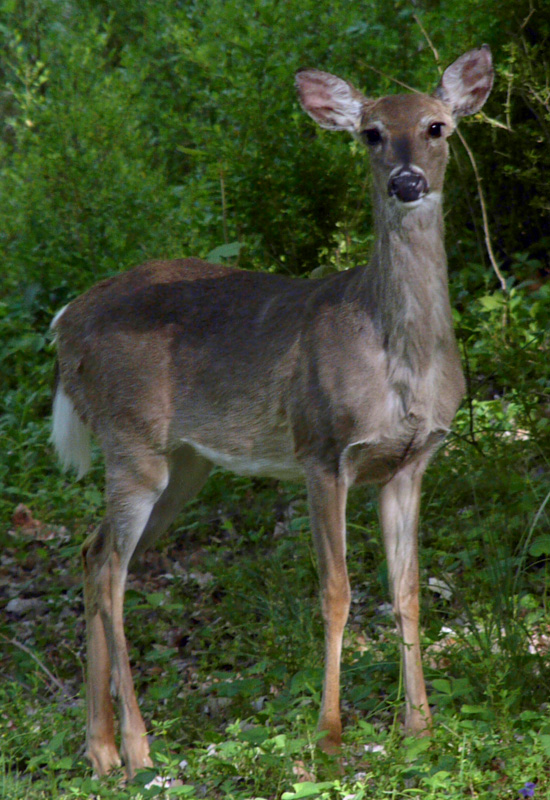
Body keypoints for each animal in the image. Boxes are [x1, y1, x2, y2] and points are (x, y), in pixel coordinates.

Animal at [49, 47, 494, 780]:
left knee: (91, 553)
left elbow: (406, 590)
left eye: (437, 126)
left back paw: (101, 749)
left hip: (184, 464)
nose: (405, 181)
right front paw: (331, 738)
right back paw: (139, 747)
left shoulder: (411, 462)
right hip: (131, 440)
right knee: (111, 570)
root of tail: (62, 325)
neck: (397, 359)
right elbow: (337, 590)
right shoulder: (323, 449)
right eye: (370, 133)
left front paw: (420, 731)